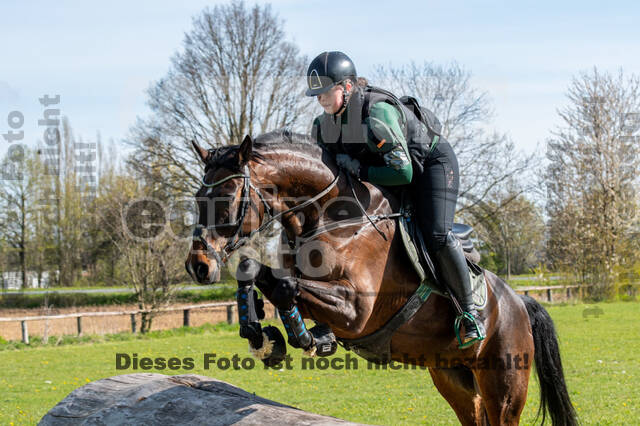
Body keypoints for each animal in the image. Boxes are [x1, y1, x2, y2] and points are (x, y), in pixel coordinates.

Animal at [184, 131, 576, 426]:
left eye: (227, 199)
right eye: (197, 197)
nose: (198, 266)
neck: (330, 217)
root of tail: (518, 302)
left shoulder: (356, 310)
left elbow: (284, 286)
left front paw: (300, 339)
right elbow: (257, 274)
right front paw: (265, 336)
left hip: (503, 385)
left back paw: (471, 323)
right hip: (454, 378)